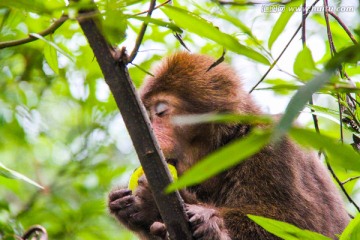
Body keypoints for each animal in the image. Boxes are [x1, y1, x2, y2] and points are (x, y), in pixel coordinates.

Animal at [108, 52, 350, 240]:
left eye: (160, 111)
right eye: (148, 115)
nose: (151, 131)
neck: (225, 146)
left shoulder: (272, 149)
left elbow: (294, 224)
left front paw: (157, 202)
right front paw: (127, 206)